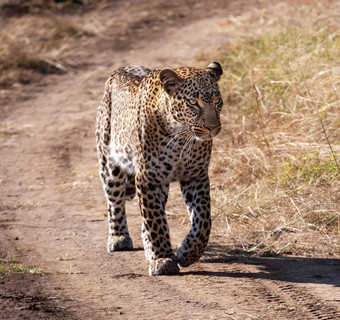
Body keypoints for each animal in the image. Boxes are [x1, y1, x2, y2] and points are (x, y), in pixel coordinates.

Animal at [95, 62, 223, 276]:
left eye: (217, 101)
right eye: (193, 102)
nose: (212, 127)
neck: (180, 137)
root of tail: (119, 70)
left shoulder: (196, 176)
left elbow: (203, 220)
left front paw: (188, 253)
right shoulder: (148, 178)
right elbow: (154, 220)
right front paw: (163, 259)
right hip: (110, 165)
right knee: (114, 203)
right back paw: (119, 237)